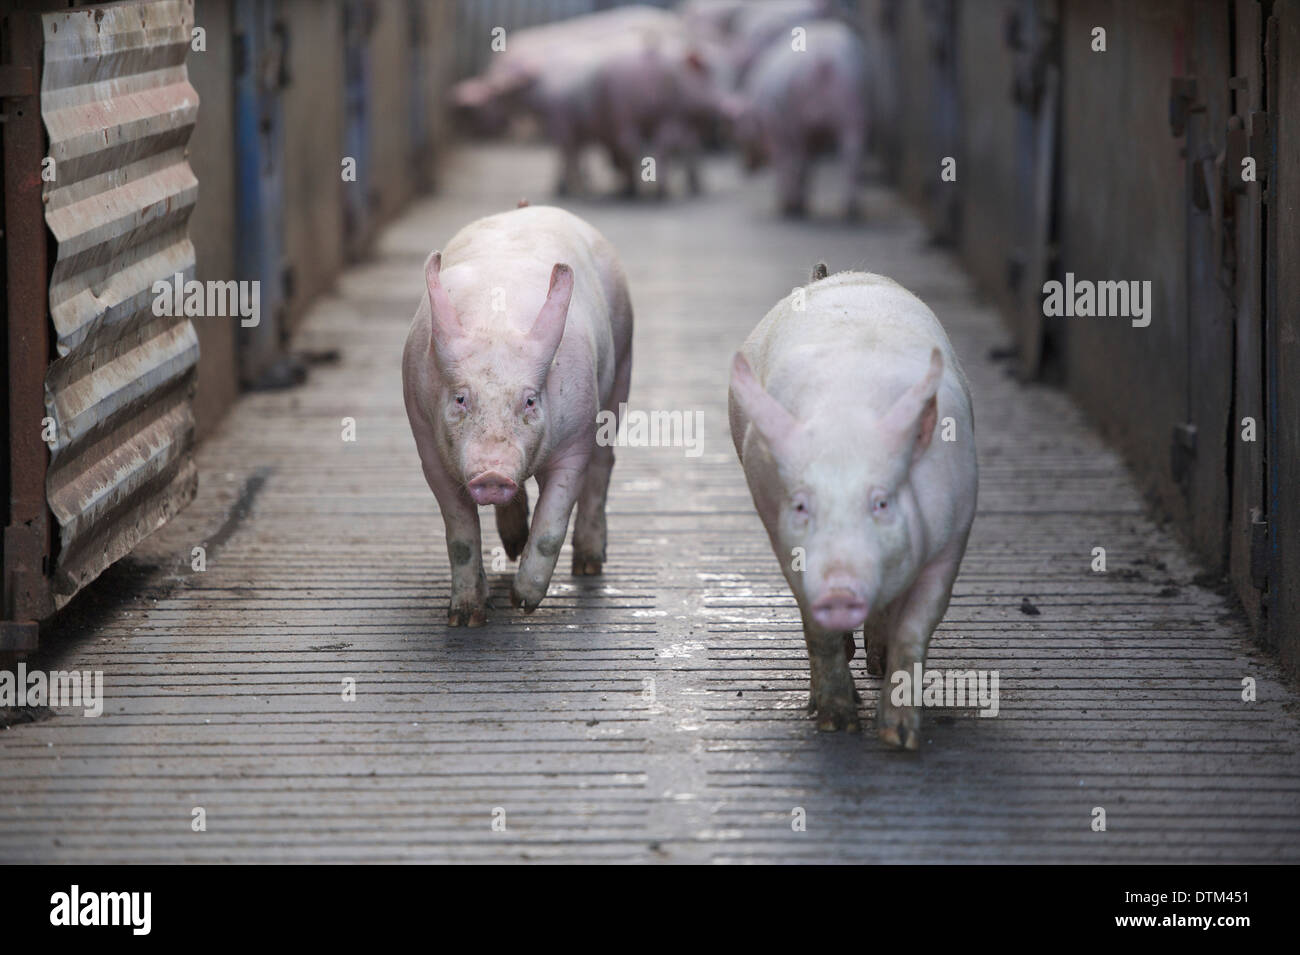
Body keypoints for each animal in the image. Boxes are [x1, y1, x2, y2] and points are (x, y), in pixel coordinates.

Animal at [400, 207, 634, 628]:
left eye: (529, 401)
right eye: (461, 398)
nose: (492, 474)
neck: (497, 322)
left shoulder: (575, 440)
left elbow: (551, 529)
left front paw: (522, 602)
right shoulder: (427, 445)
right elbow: (460, 536)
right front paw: (465, 618)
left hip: (622, 365)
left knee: (604, 465)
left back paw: (589, 566)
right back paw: (512, 545)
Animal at [728, 267, 977, 748]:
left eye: (881, 502)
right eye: (801, 506)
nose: (839, 591)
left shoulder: (952, 537)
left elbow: (914, 628)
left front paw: (898, 738)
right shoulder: (786, 544)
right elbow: (815, 629)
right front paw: (836, 723)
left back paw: (876, 665)